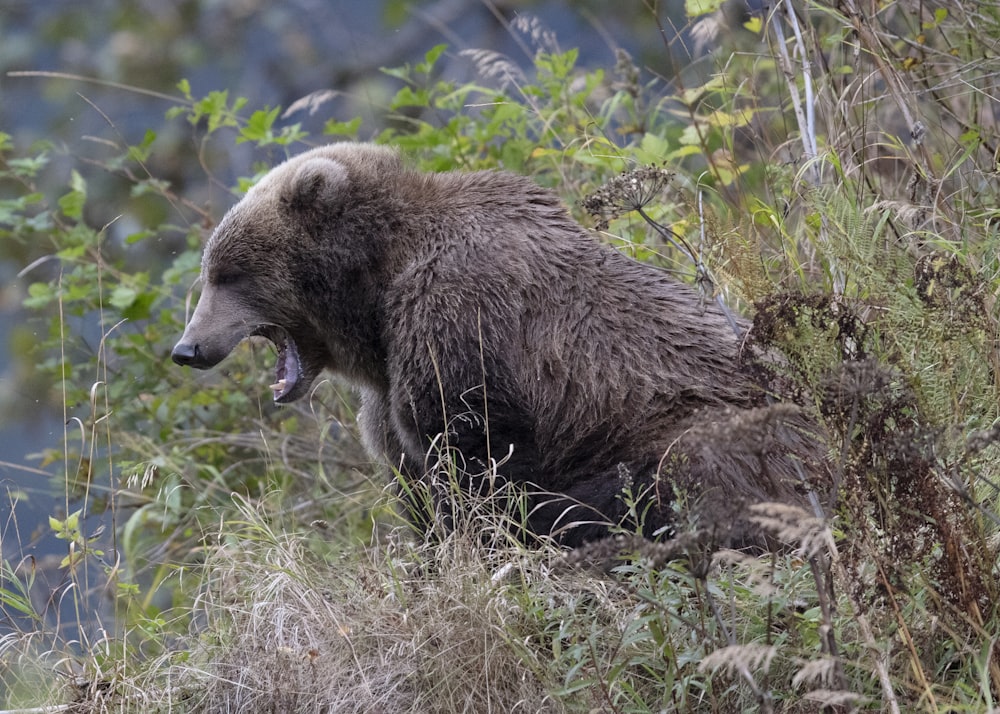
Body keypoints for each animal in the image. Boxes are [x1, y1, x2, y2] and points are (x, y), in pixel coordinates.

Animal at [172, 142, 824, 548]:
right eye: (211, 270)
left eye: (229, 274)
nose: (188, 348)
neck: (377, 299)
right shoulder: (391, 390)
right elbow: (416, 481)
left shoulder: (458, 321)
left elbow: (478, 462)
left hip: (706, 426)